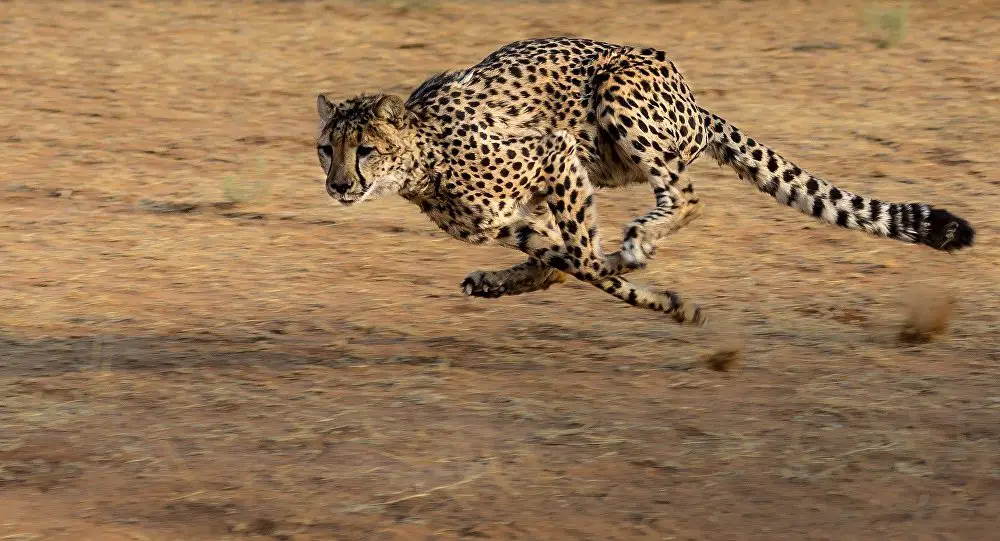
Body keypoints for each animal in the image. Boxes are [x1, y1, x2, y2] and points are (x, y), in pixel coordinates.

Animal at [314, 38, 976, 326]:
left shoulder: (554, 153)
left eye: (364, 150)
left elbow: (585, 260)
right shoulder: (513, 219)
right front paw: (661, 298)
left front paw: (660, 294)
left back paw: (639, 241)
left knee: (685, 196)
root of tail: (694, 99)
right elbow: (568, 263)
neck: (421, 159)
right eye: (326, 150)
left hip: (616, 96)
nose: (339, 186)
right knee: (566, 259)